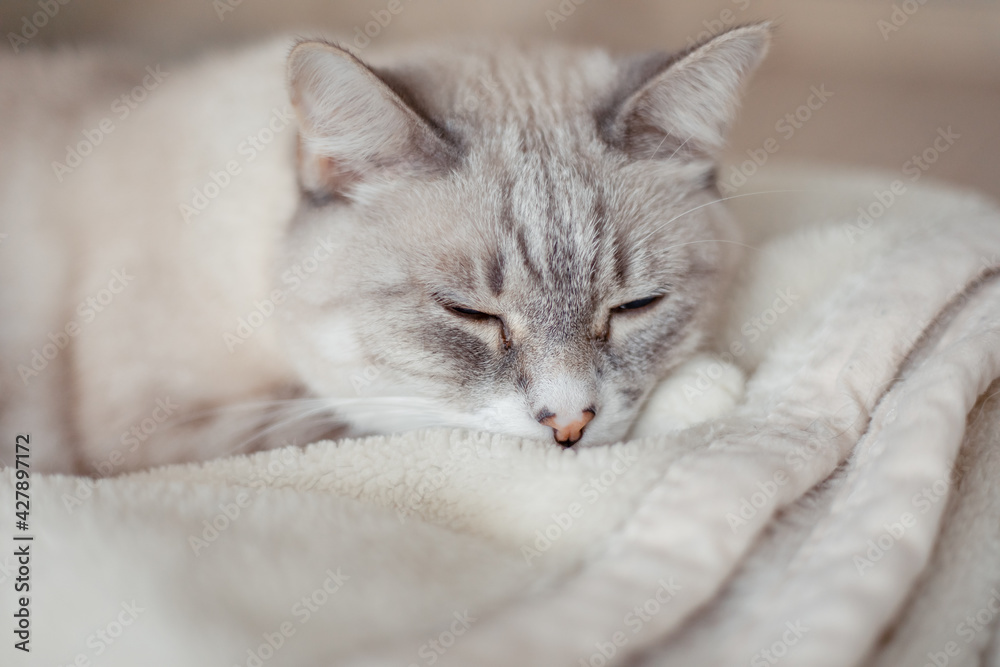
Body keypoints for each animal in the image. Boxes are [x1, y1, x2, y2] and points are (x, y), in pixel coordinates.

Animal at [0, 23, 768, 472]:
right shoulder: (160, 431)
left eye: (636, 306)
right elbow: (367, 419)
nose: (570, 424)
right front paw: (708, 388)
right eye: (470, 314)